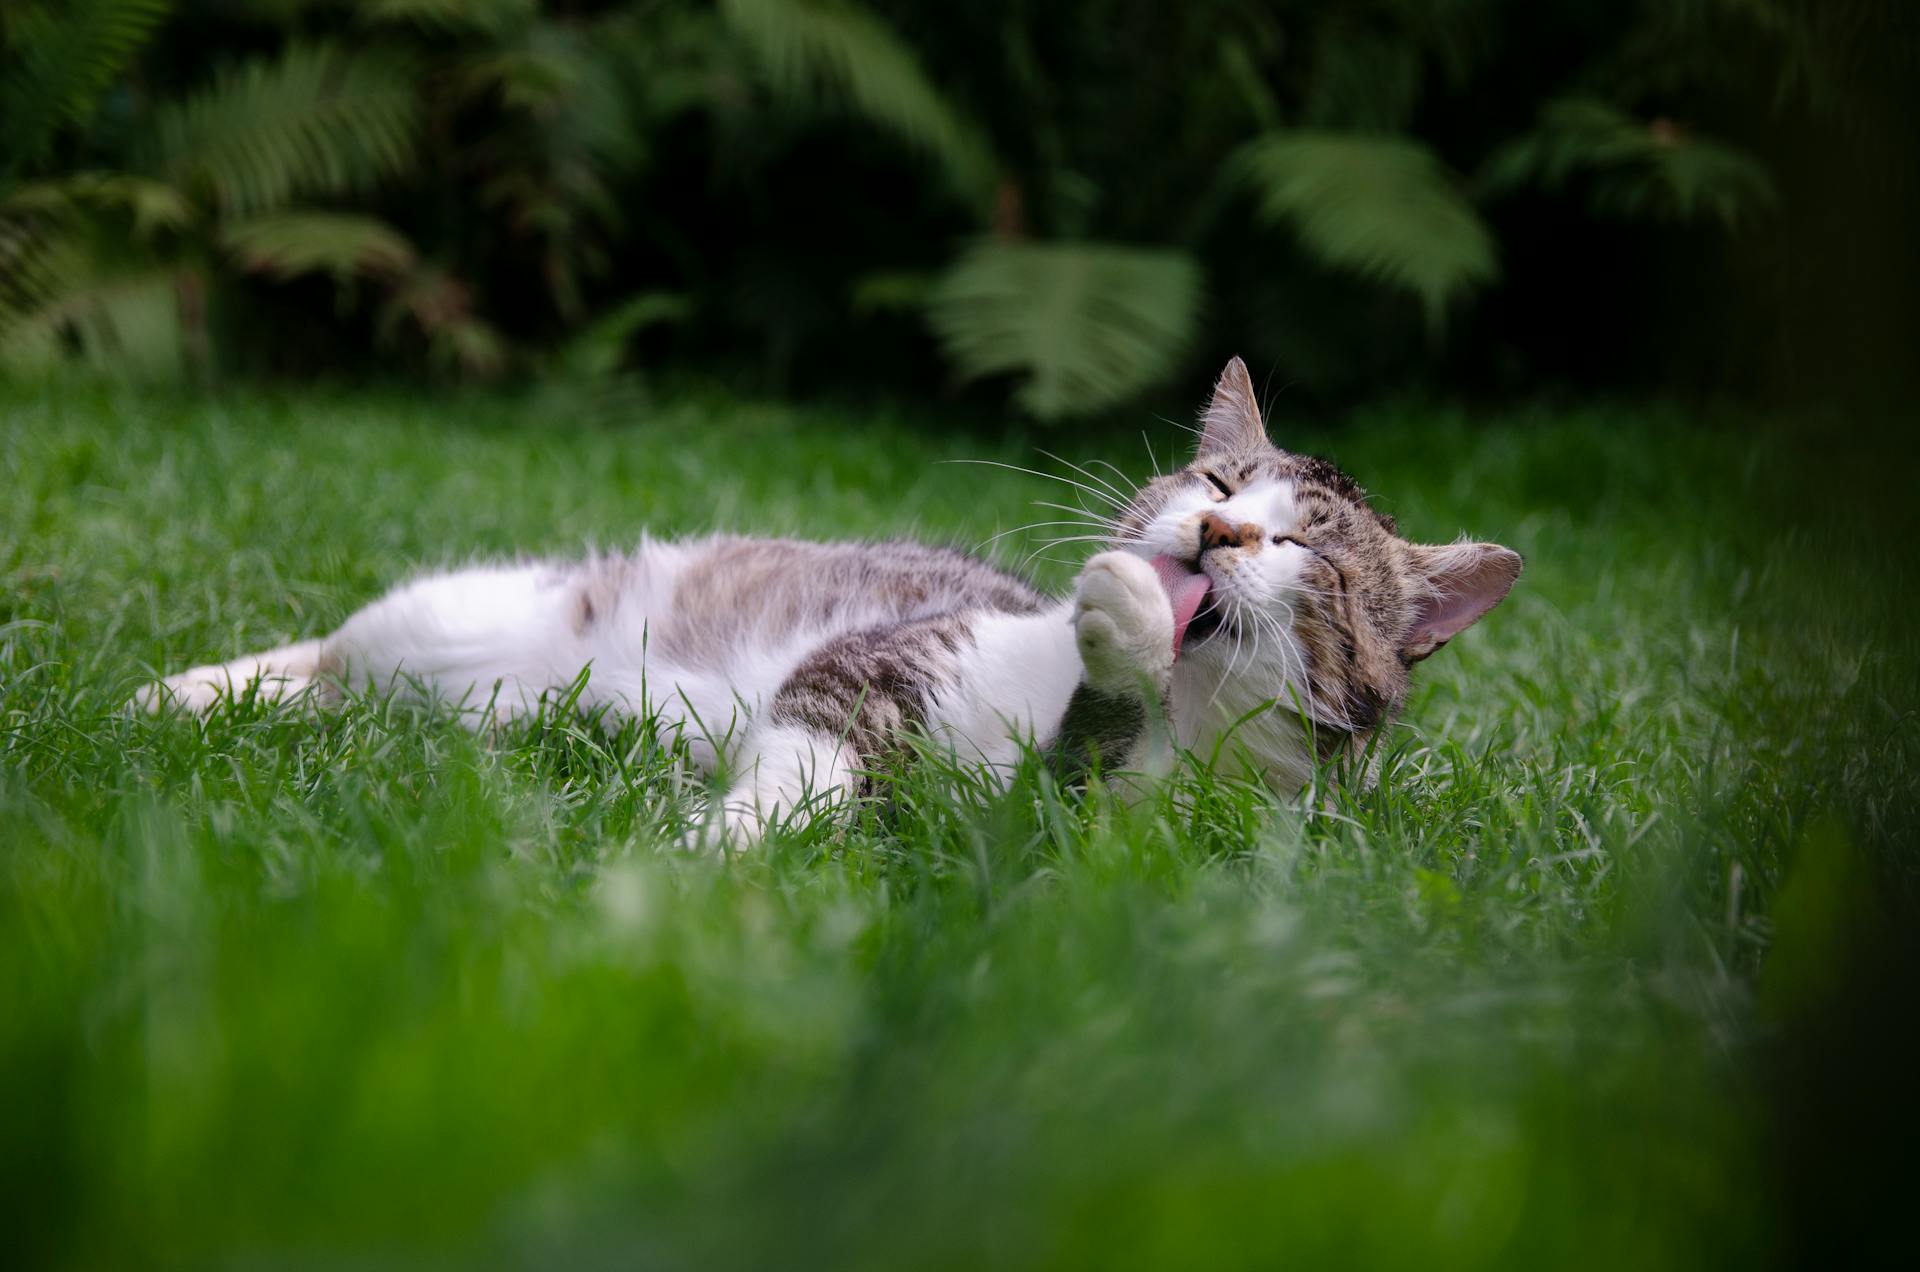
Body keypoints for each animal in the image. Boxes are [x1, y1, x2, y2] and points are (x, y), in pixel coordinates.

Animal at [127, 359, 1520, 841]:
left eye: (1310, 553)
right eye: (1221, 481)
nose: (1220, 528)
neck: (1183, 729)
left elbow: (1067, 776)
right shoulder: (881, 666)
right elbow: (810, 755)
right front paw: (713, 854)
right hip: (455, 621)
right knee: (331, 650)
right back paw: (181, 693)